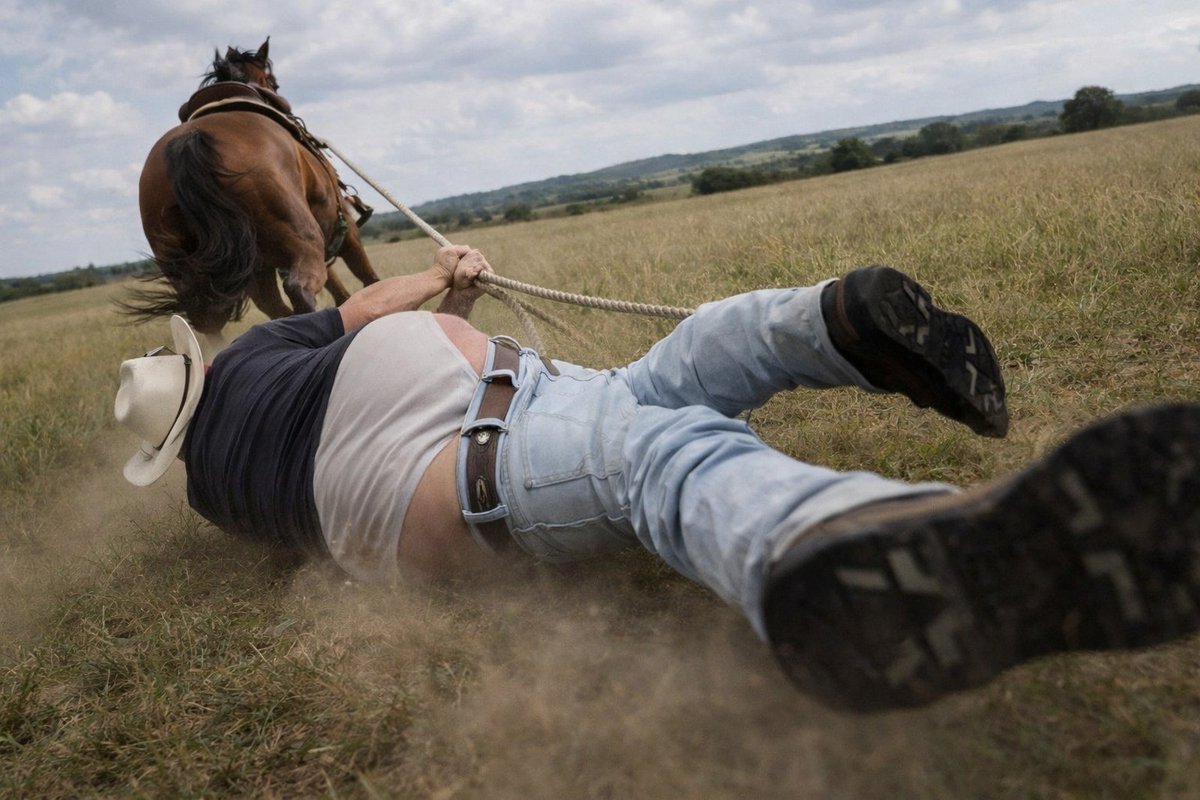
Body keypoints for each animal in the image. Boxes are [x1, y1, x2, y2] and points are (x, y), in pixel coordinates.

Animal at [127, 38, 379, 352]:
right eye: (273, 82)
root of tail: (189, 142)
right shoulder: (343, 230)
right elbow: (368, 279)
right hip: (302, 243)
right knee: (300, 295)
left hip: (215, 270)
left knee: (219, 320)